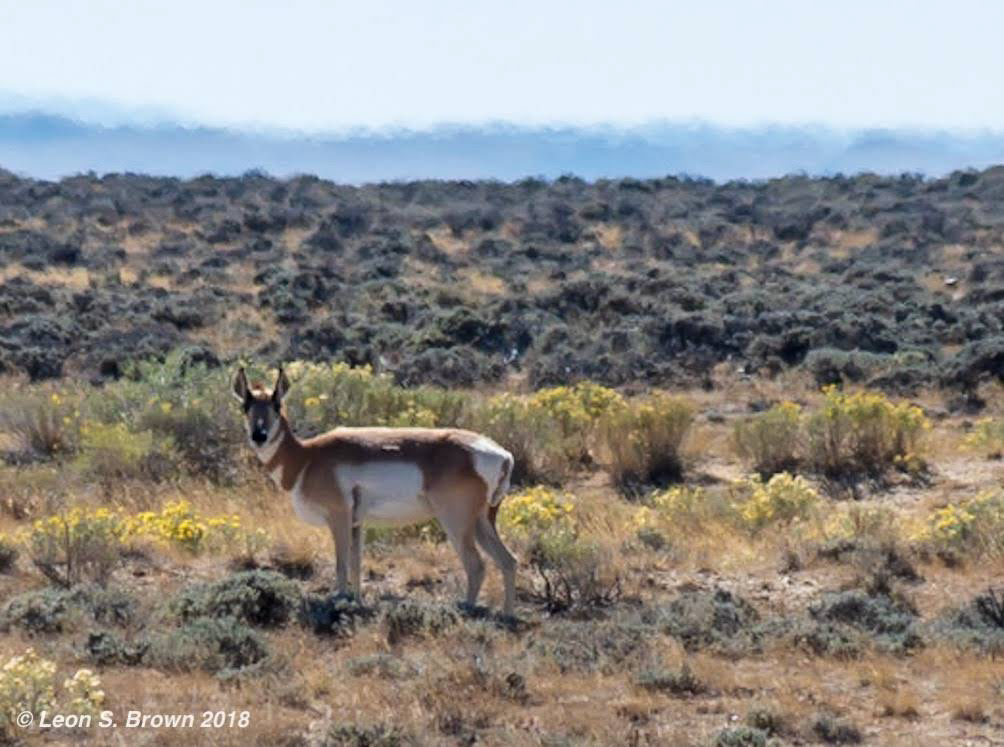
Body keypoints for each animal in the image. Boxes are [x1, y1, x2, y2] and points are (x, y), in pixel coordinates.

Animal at [232, 367, 518, 615]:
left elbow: (341, 564)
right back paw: (506, 616)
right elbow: (356, 566)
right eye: (246, 406)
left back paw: (466, 609)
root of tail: (501, 454)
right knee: (508, 561)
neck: (307, 457)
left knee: (476, 565)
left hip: (455, 523)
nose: (259, 436)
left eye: (276, 405)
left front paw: (339, 600)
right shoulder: (357, 524)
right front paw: (357, 602)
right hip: (482, 522)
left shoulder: (339, 518)